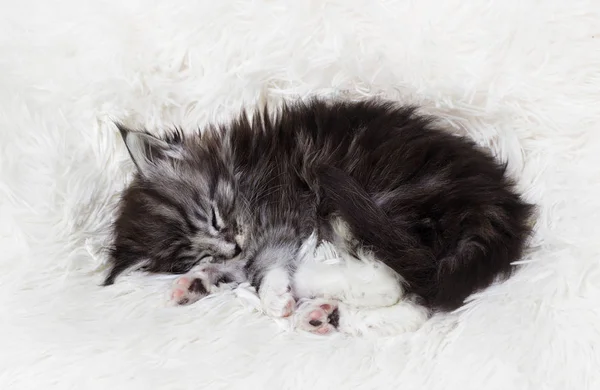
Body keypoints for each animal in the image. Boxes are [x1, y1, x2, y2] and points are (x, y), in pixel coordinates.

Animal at [103, 96, 536, 336]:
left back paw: (309, 283)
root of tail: (501, 211)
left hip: (378, 203)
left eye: (212, 214)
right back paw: (325, 317)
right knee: (421, 300)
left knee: (393, 280)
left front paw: (273, 292)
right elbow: (236, 267)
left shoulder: (289, 208)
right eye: (198, 252)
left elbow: (267, 259)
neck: (240, 170)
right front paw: (194, 281)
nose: (231, 246)